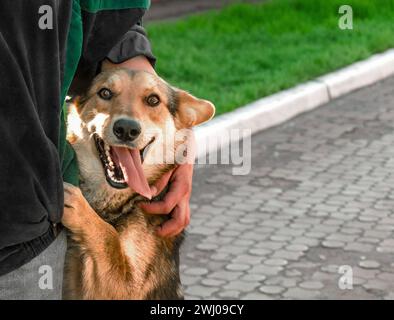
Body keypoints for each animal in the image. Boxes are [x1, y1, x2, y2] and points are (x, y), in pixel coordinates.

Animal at [62, 68, 215, 300]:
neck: (114, 203)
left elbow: (108, 237)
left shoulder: (128, 286)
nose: (126, 129)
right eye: (105, 93)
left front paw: (80, 209)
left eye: (153, 100)